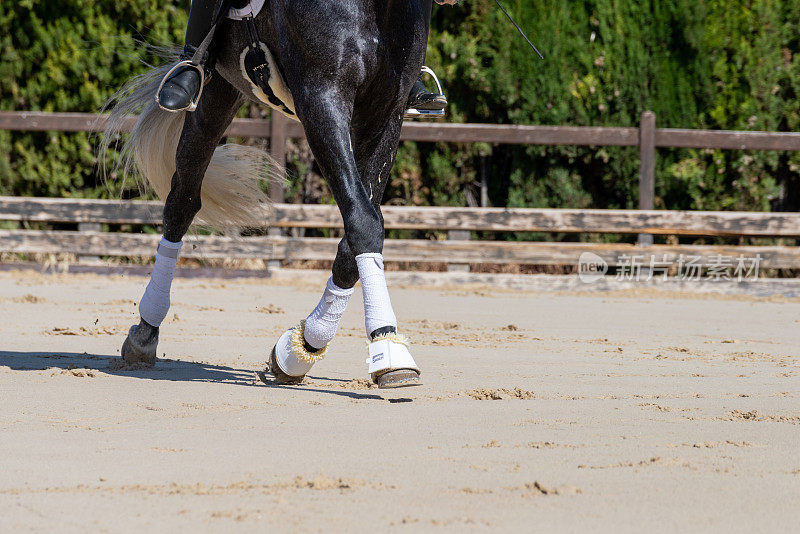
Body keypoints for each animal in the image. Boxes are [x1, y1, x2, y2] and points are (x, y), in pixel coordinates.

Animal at [103, 0, 454, 388]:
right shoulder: (321, 99)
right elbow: (364, 222)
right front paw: (388, 345)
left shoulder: (386, 114)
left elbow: (357, 231)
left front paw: (302, 347)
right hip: (213, 91)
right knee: (181, 203)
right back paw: (145, 333)